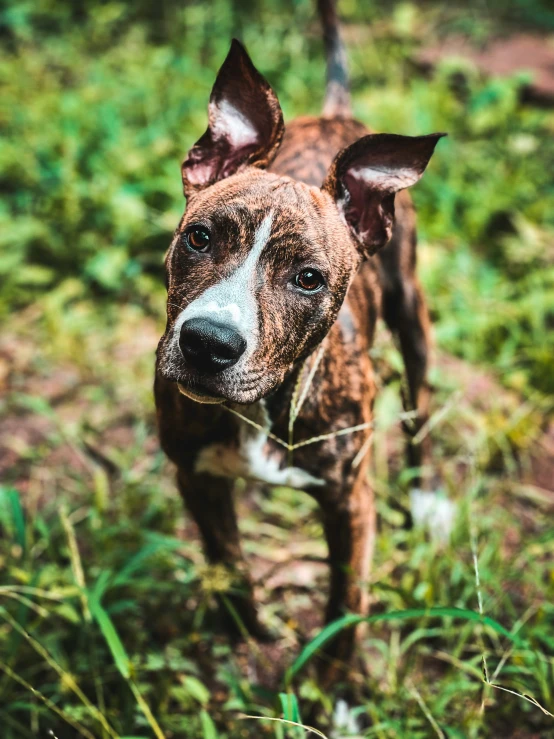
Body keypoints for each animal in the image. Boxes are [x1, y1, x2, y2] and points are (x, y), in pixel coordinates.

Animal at [155, 0, 444, 684]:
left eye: (308, 279)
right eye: (200, 237)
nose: (207, 343)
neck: (262, 407)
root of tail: (337, 114)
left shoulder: (351, 504)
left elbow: (345, 604)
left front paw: (332, 688)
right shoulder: (194, 476)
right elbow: (229, 564)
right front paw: (245, 638)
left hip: (411, 308)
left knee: (418, 398)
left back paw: (426, 498)